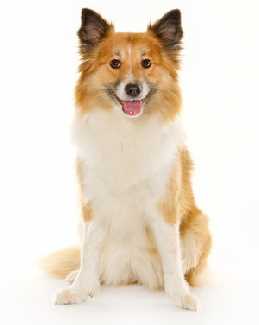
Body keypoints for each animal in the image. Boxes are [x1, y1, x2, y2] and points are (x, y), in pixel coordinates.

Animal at [42, 8, 212, 310]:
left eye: (146, 63)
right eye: (114, 63)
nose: (133, 89)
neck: (127, 130)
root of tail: (133, 269)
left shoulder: (164, 207)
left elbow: (172, 257)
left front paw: (179, 295)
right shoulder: (93, 206)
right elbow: (89, 254)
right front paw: (79, 290)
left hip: (200, 226)